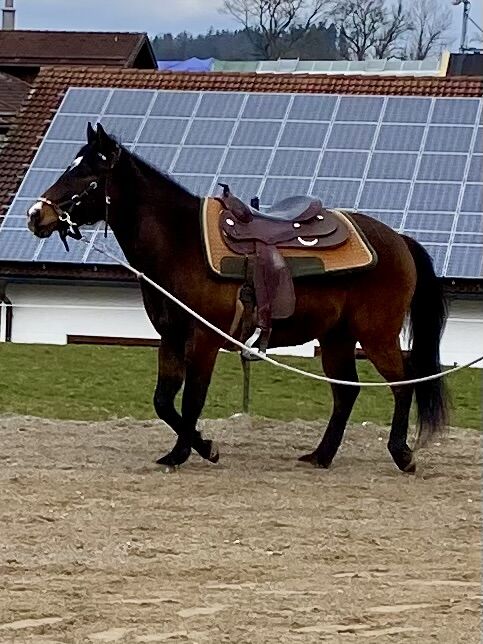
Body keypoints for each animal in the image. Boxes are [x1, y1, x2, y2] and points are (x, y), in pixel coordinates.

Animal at [27, 123, 448, 473]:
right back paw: (322, 455)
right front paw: (198, 447)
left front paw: (187, 452)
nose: (35, 215)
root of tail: (398, 240)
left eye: (88, 174)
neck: (182, 244)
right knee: (346, 392)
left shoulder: (204, 339)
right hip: (337, 337)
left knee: (403, 383)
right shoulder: (171, 338)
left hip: (376, 335)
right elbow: (164, 401)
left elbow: (192, 400)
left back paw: (401, 454)